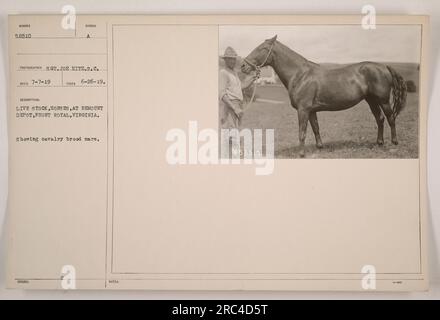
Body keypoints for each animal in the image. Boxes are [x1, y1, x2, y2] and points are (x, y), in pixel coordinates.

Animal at [242, 35, 408, 158]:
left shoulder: (303, 110)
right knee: (379, 119)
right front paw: (320, 147)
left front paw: (301, 154)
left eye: (262, 48)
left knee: (390, 118)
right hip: (371, 100)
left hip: (383, 100)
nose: (243, 66)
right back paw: (379, 142)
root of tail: (384, 66)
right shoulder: (311, 111)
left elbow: (302, 131)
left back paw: (394, 142)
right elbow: (316, 128)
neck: (300, 75)